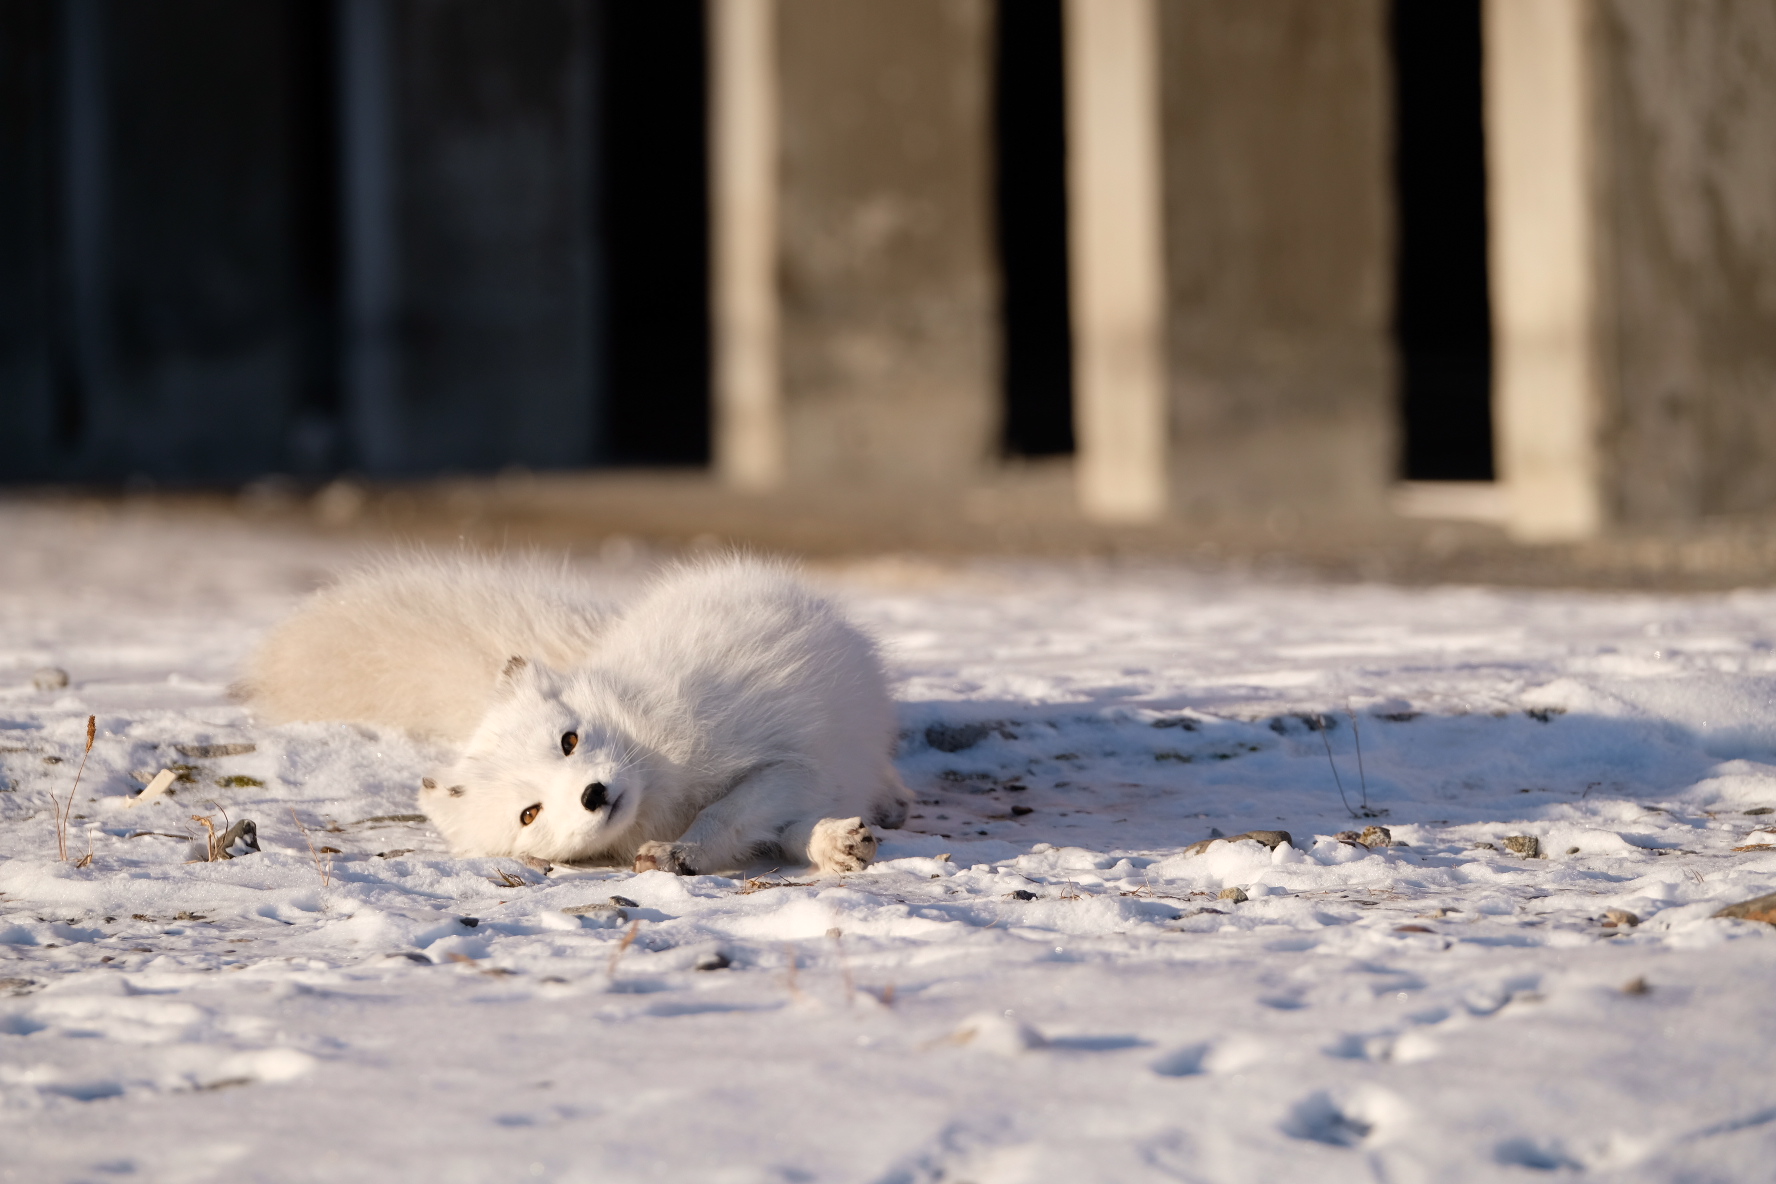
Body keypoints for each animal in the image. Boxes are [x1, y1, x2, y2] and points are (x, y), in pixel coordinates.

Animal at [243, 550, 909, 876]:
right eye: (530, 813)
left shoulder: (791, 767)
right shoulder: (798, 781)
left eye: (569, 741)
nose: (593, 794)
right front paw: (829, 845)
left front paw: (683, 852)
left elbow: (727, 812)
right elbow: (764, 830)